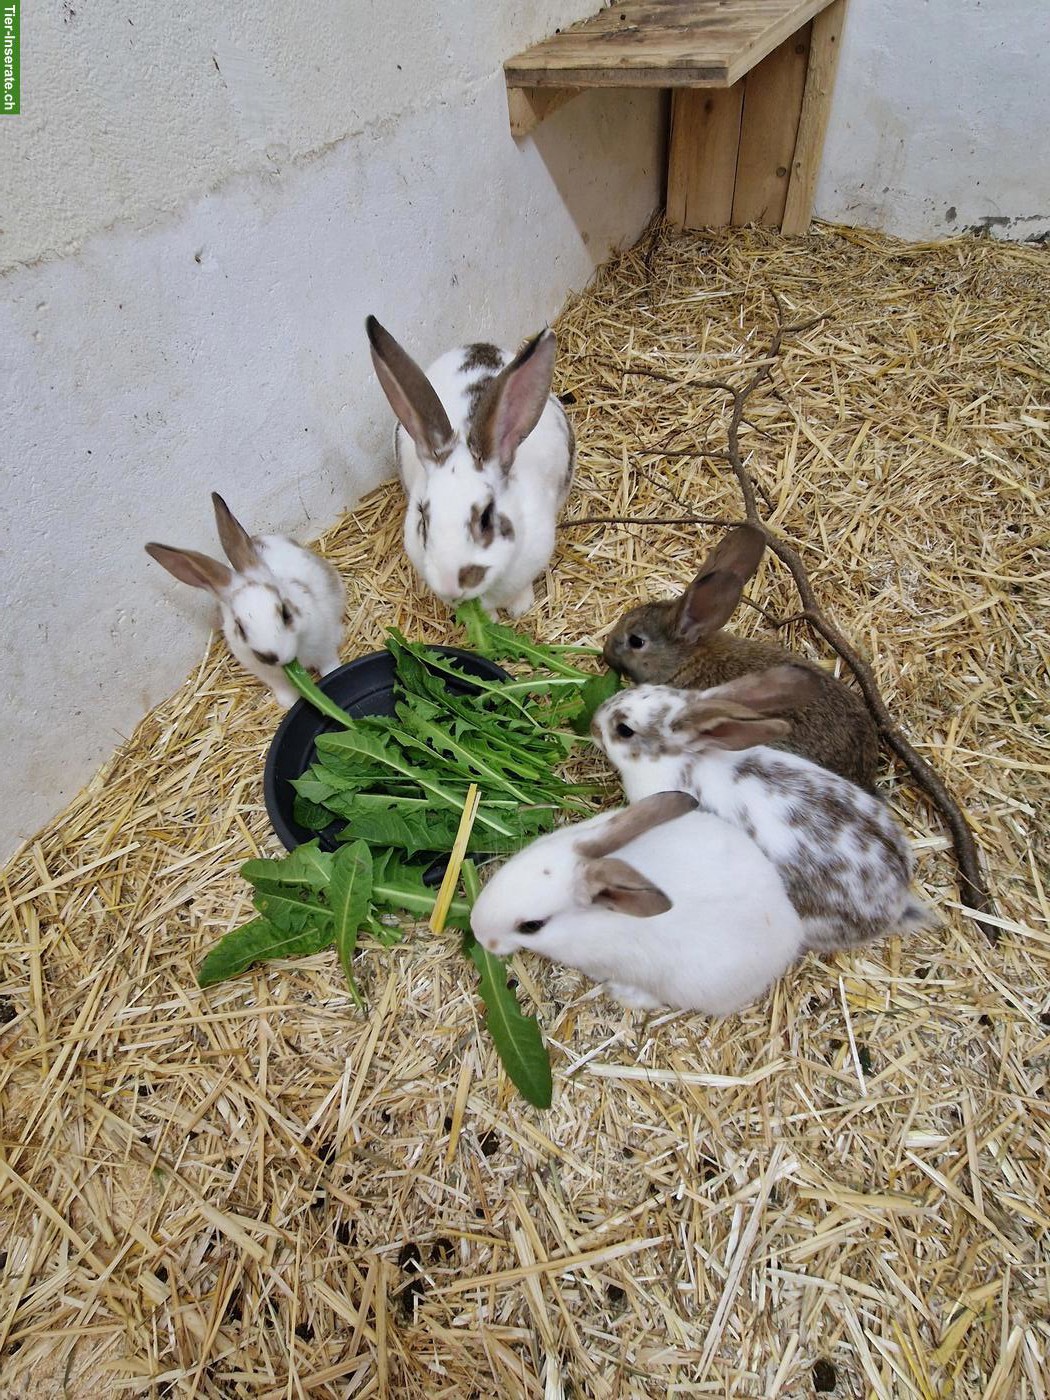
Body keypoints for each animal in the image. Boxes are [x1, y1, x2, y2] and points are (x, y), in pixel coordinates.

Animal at [145, 493, 345, 707]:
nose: (272, 657)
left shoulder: (324, 647)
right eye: (239, 627)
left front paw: (333, 672)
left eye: (285, 613)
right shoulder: (270, 676)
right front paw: (289, 703)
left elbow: (329, 666)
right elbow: (285, 691)